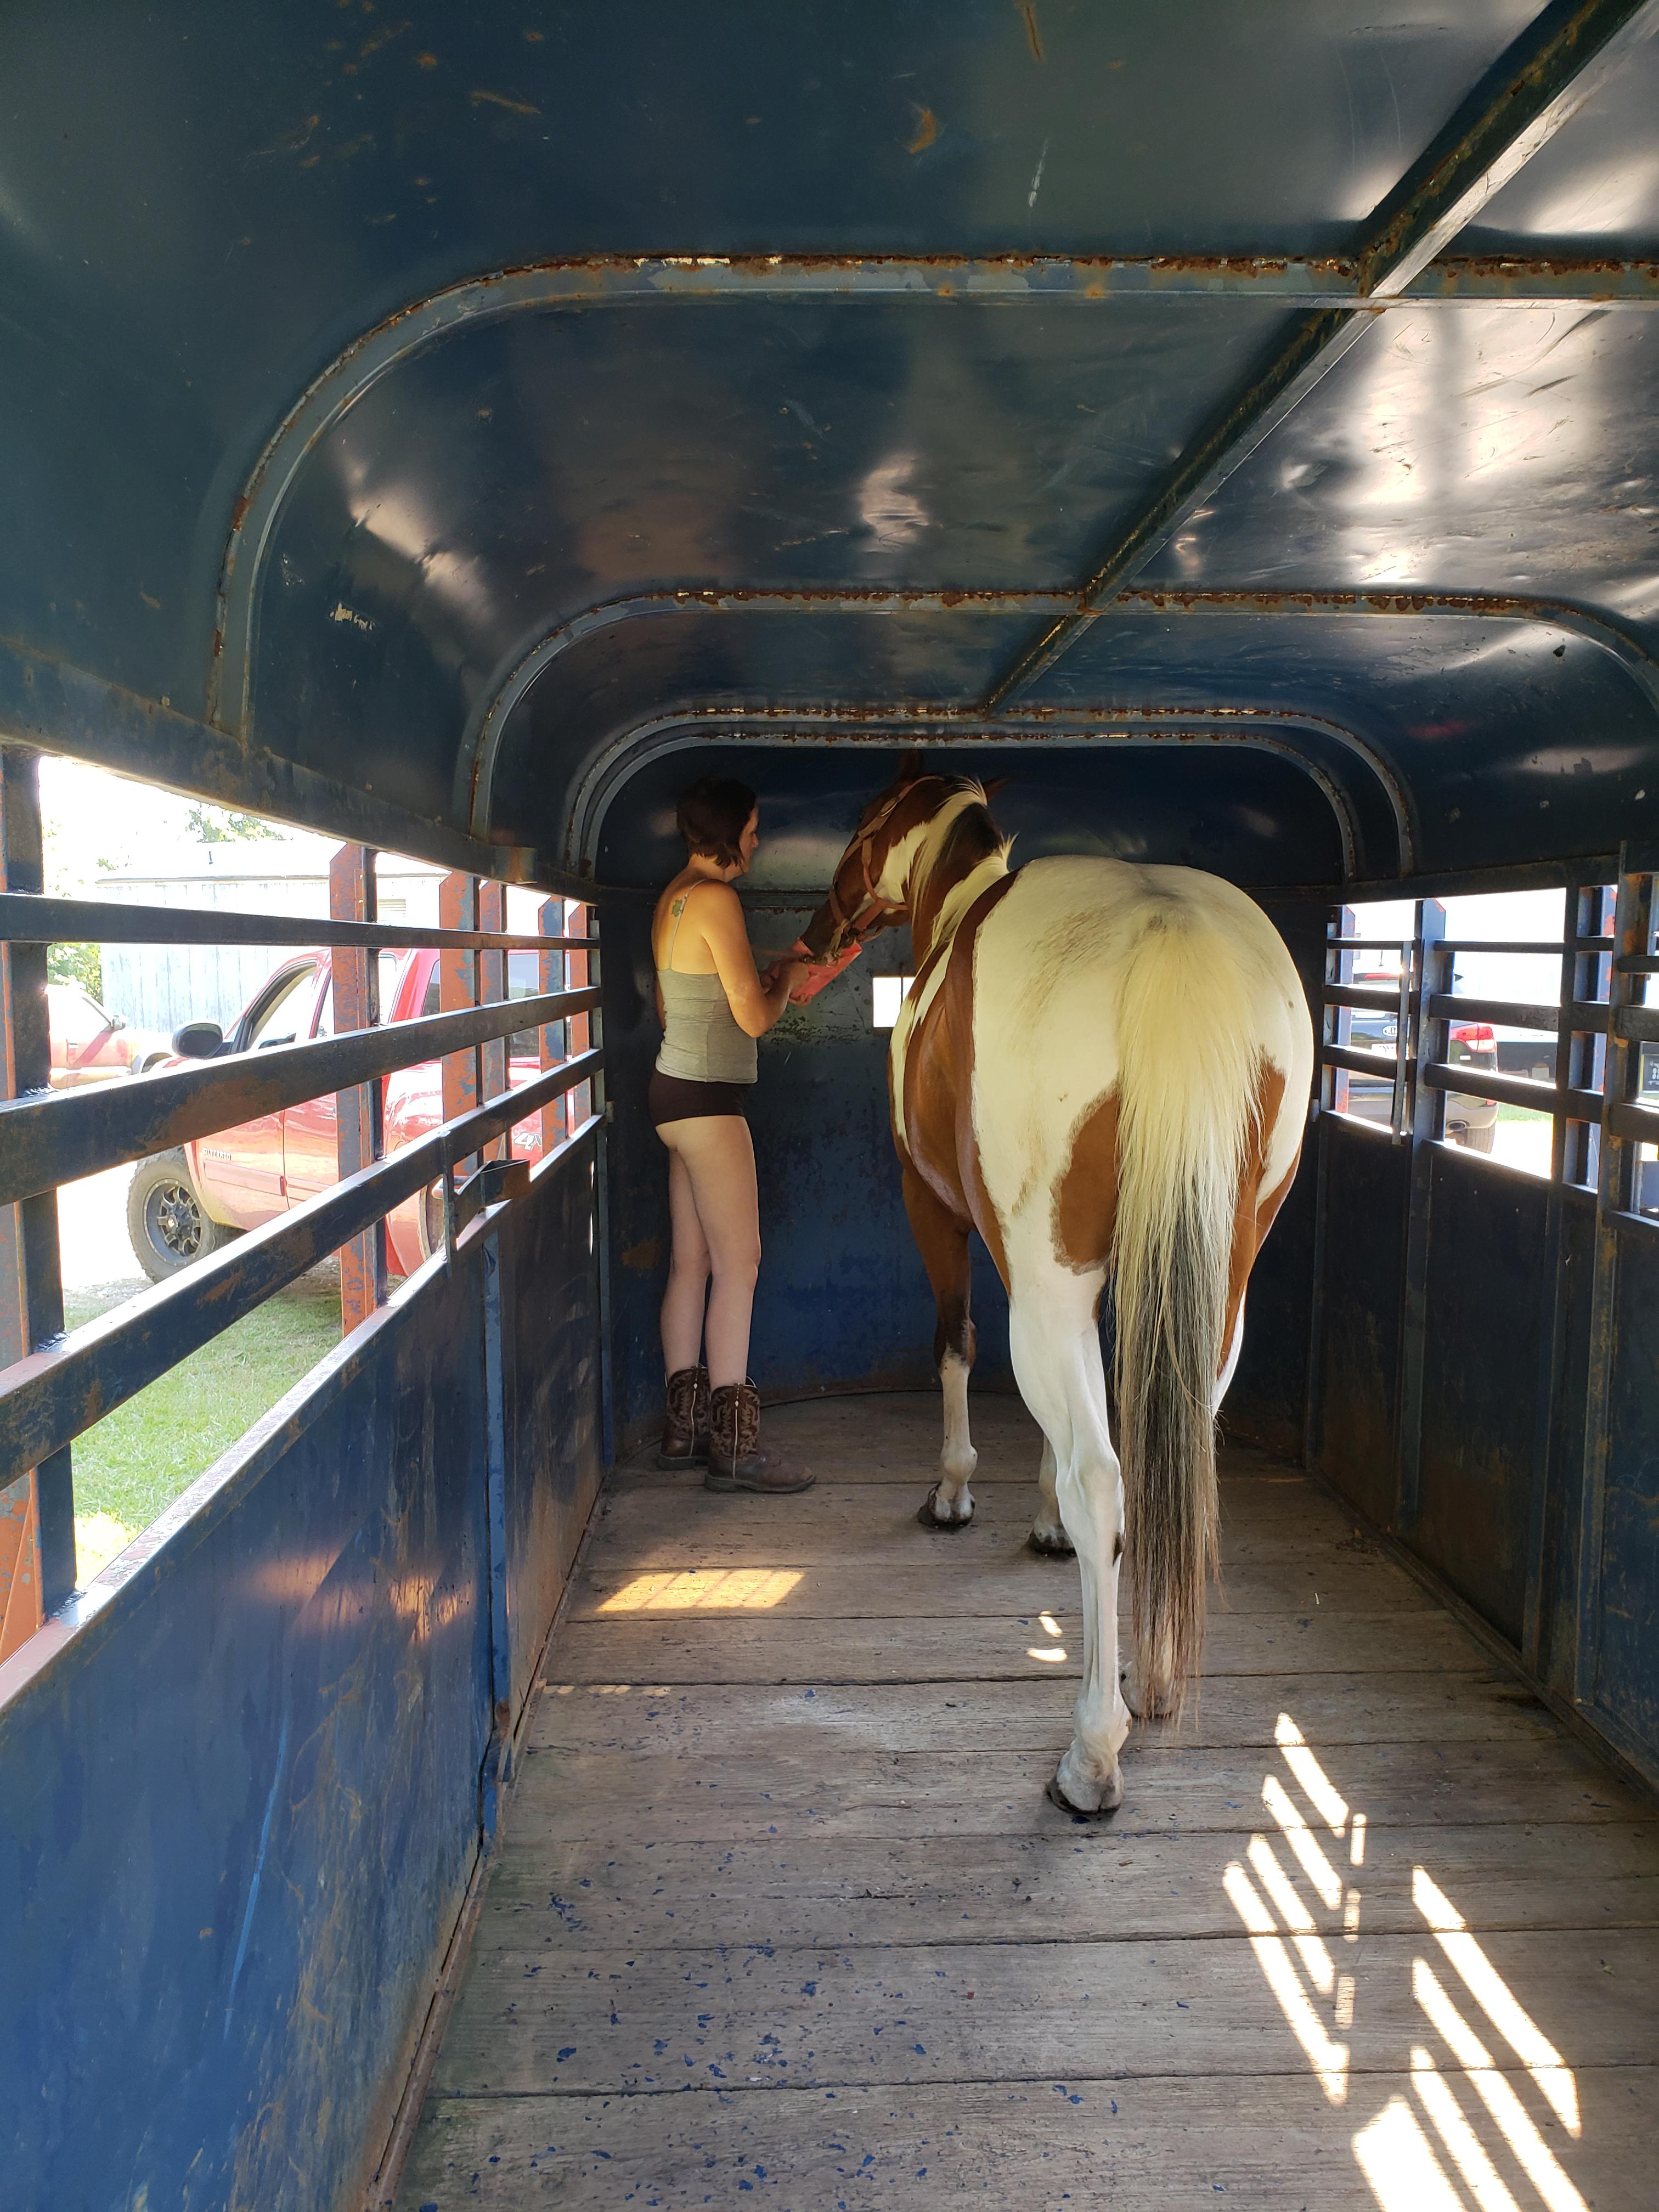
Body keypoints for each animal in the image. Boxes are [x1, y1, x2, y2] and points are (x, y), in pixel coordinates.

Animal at [796, 756, 1313, 1814]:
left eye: (863, 825)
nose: (818, 929)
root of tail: (1168, 929)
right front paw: (1038, 1520)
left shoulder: (939, 1213)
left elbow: (957, 1348)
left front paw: (954, 1492)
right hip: (1217, 1280)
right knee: (1168, 1455)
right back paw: (1155, 1678)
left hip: (1047, 1277)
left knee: (1105, 1483)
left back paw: (1092, 1753)